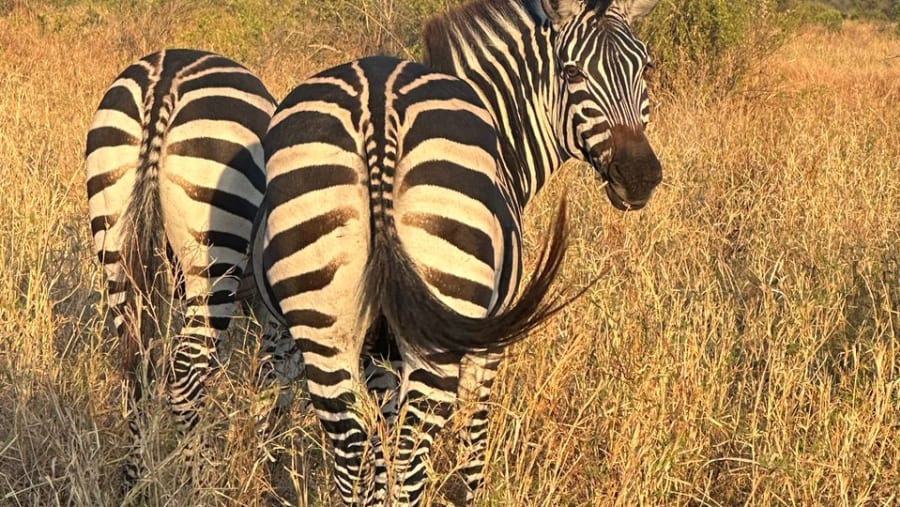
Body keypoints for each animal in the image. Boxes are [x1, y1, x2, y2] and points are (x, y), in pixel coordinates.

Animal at [85, 48, 291, 490]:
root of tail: (164, 82)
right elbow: (275, 375)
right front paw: (267, 467)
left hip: (115, 240)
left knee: (138, 367)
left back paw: (134, 482)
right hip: (213, 256)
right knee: (184, 374)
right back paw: (202, 482)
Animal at [252, 0, 662, 504]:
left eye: (646, 67)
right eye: (571, 72)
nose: (640, 177)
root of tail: (377, 106)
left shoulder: (382, 352)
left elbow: (379, 448)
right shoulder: (484, 341)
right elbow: (474, 429)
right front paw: (475, 494)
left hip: (323, 325)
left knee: (350, 447)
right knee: (411, 458)